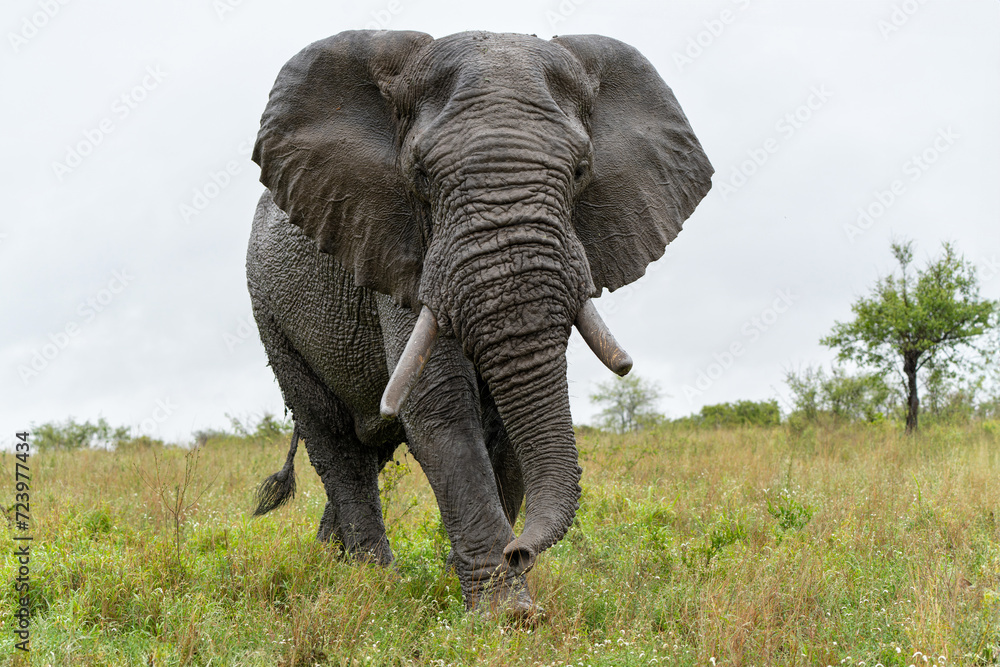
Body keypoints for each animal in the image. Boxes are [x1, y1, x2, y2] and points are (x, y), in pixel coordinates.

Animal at [247, 29, 712, 616]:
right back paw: (374, 584)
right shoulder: (399, 247)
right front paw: (508, 614)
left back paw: (339, 569)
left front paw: (478, 588)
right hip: (271, 315)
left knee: (367, 450)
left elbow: (511, 425)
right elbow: (440, 403)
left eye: (581, 171)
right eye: (420, 176)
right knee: (335, 444)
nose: (520, 552)